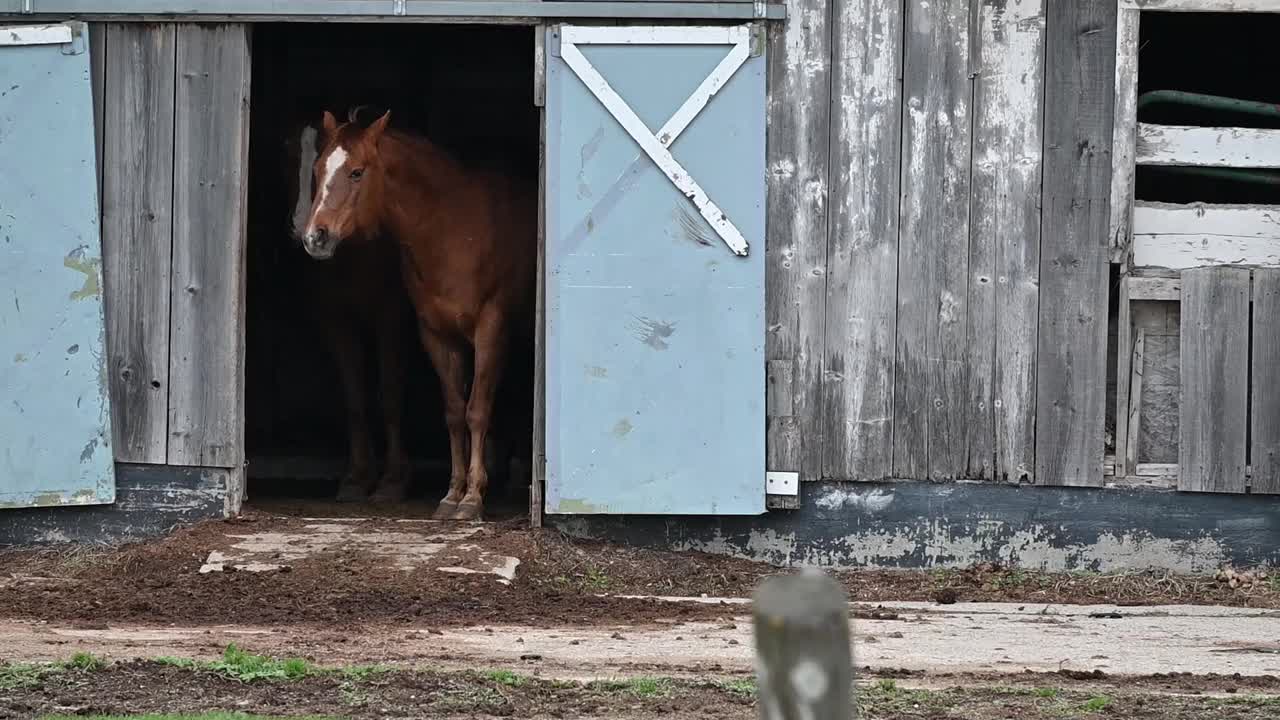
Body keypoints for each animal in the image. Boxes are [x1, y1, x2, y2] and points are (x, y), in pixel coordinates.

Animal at [282, 107, 412, 499]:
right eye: (290, 151)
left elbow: (390, 391)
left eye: (357, 172)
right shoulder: (336, 320)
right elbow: (354, 396)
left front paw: (393, 480)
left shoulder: (390, 317)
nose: (309, 235)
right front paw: (357, 477)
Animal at [299, 109, 535, 517]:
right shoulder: (436, 335)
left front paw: (472, 499)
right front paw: (452, 494)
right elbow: (454, 411)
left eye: (357, 172)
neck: (454, 230)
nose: (316, 237)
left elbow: (477, 410)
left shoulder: (491, 329)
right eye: (318, 169)